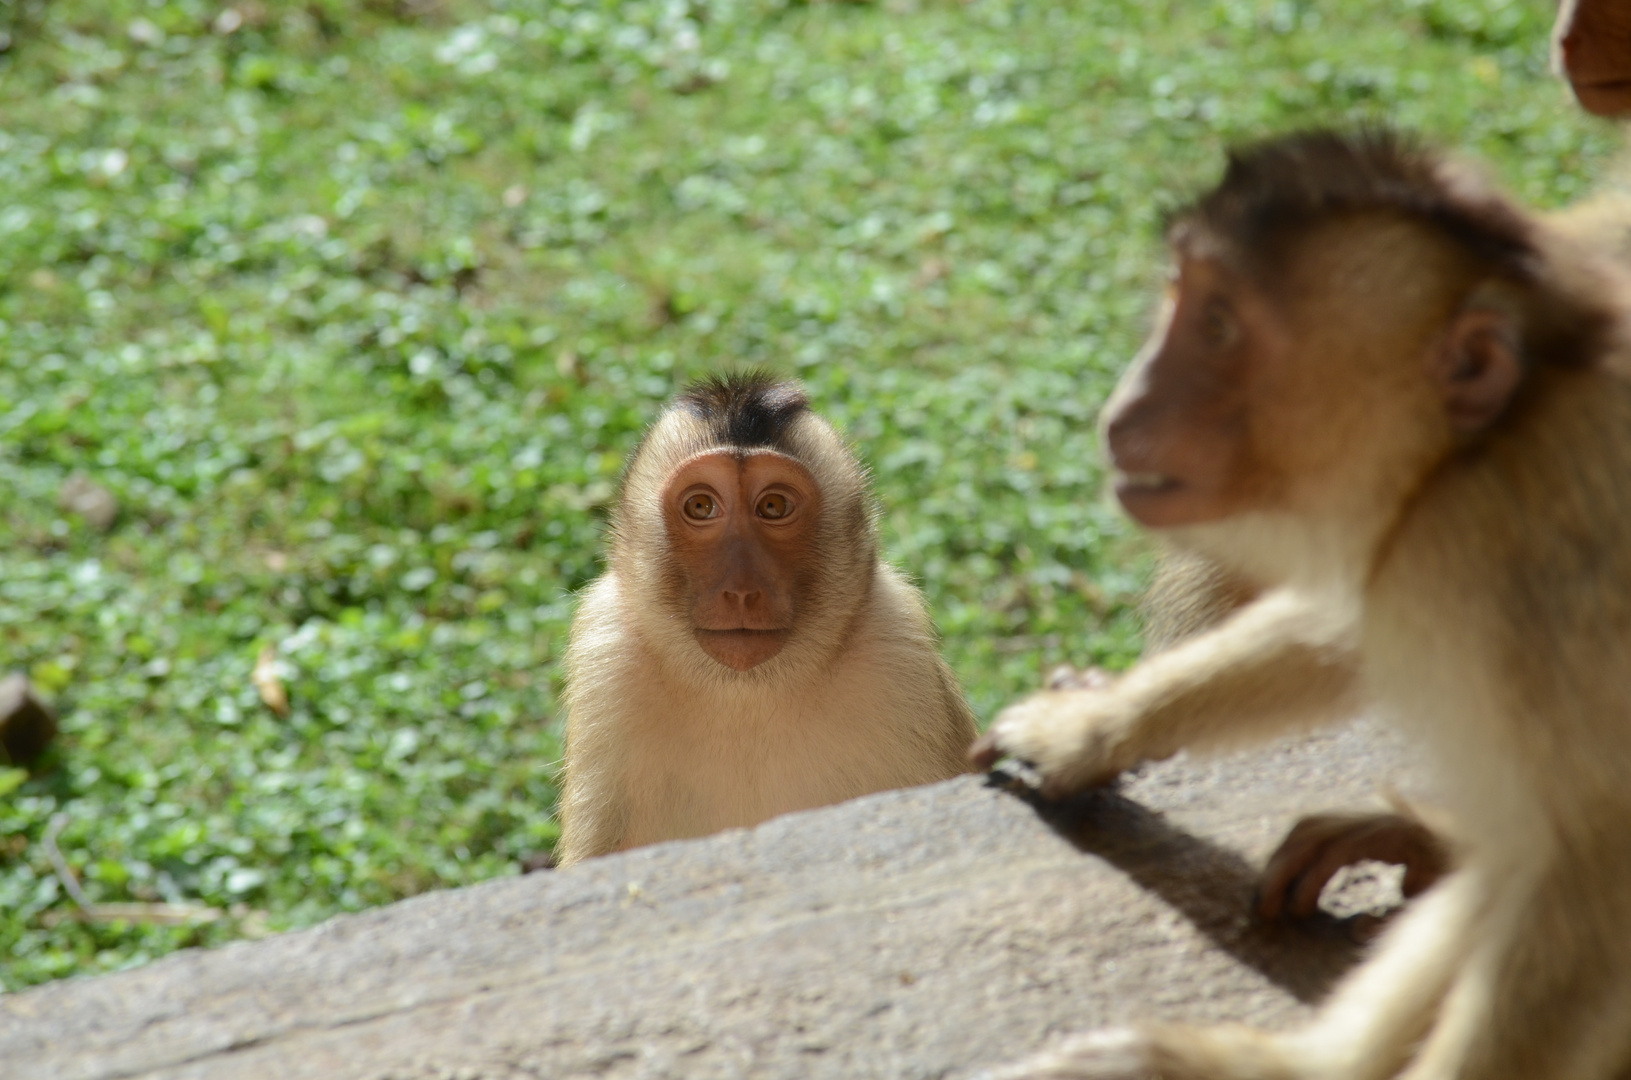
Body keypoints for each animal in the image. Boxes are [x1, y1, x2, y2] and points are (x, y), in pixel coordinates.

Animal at [554, 371, 972, 874]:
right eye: (701, 507)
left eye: (773, 507)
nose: (740, 590)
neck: (746, 692)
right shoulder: (606, 650)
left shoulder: (898, 651)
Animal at [972, 128, 1631, 1080]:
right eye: (1178, 301)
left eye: (1216, 328)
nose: (1121, 407)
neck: (1475, 444)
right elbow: (1347, 622)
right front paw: (1088, 730)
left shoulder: (1511, 545)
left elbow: (1595, 861)